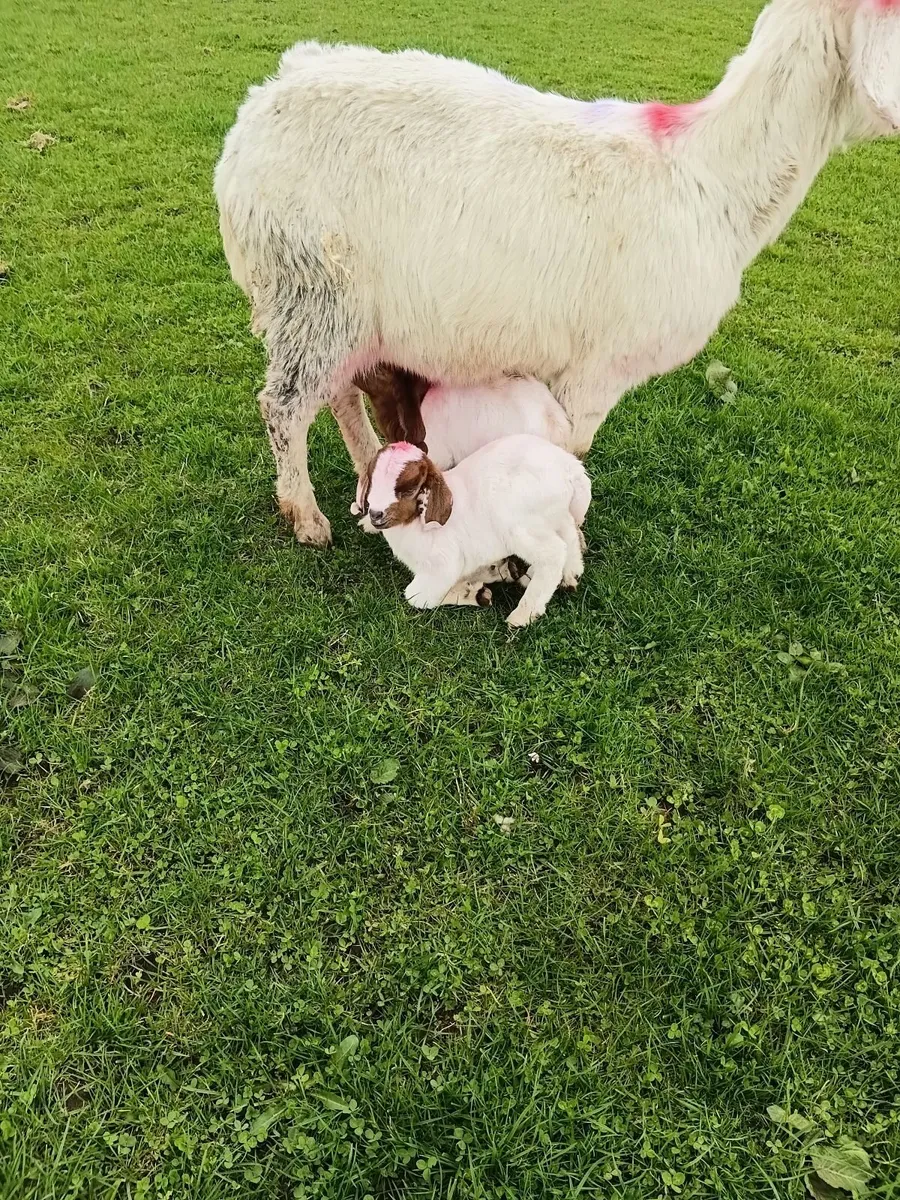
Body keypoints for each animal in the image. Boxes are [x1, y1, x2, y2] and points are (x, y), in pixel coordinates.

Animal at [215, 0, 900, 546]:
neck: (710, 178)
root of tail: (260, 107)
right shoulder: (598, 368)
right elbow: (569, 452)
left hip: (339, 310)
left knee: (336, 392)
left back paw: (369, 471)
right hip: (310, 285)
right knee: (284, 404)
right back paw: (306, 517)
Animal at [356, 437, 591, 626]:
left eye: (409, 489)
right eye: (371, 479)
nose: (376, 514)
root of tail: (571, 469)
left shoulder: (443, 564)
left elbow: (416, 596)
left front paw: (472, 592)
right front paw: (488, 578)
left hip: (519, 524)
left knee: (553, 553)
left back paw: (523, 614)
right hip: (554, 514)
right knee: (569, 533)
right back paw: (569, 575)